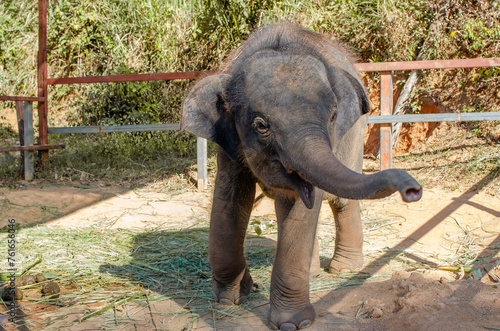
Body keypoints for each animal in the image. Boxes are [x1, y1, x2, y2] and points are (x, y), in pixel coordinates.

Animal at [181, 23, 422, 331]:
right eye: (261, 125)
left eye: (333, 116)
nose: (413, 189)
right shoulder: (229, 142)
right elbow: (230, 198)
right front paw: (230, 297)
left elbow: (299, 206)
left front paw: (291, 324)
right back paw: (314, 272)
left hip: (356, 134)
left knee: (340, 201)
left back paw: (343, 269)